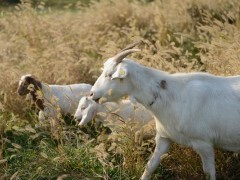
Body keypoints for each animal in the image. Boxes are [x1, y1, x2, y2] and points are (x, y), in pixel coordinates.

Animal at [89, 47, 240, 179]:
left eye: (110, 75)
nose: (91, 94)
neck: (174, 97)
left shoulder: (204, 143)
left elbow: (209, 173)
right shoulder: (164, 137)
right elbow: (150, 166)